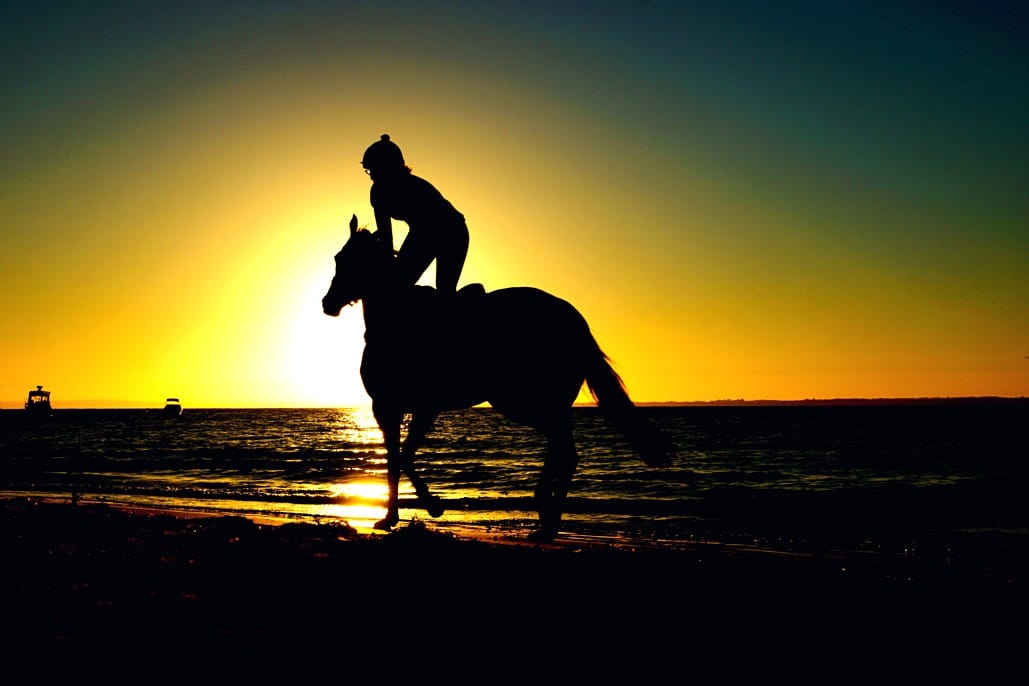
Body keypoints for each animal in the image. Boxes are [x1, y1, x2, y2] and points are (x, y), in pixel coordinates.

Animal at [321, 214, 677, 541]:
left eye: (351, 261)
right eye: (339, 258)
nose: (328, 303)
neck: (396, 321)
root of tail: (577, 322)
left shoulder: (418, 406)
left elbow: (404, 457)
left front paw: (432, 506)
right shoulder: (389, 408)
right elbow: (395, 461)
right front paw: (390, 518)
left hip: (527, 402)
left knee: (565, 450)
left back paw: (548, 519)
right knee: (564, 450)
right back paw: (546, 519)